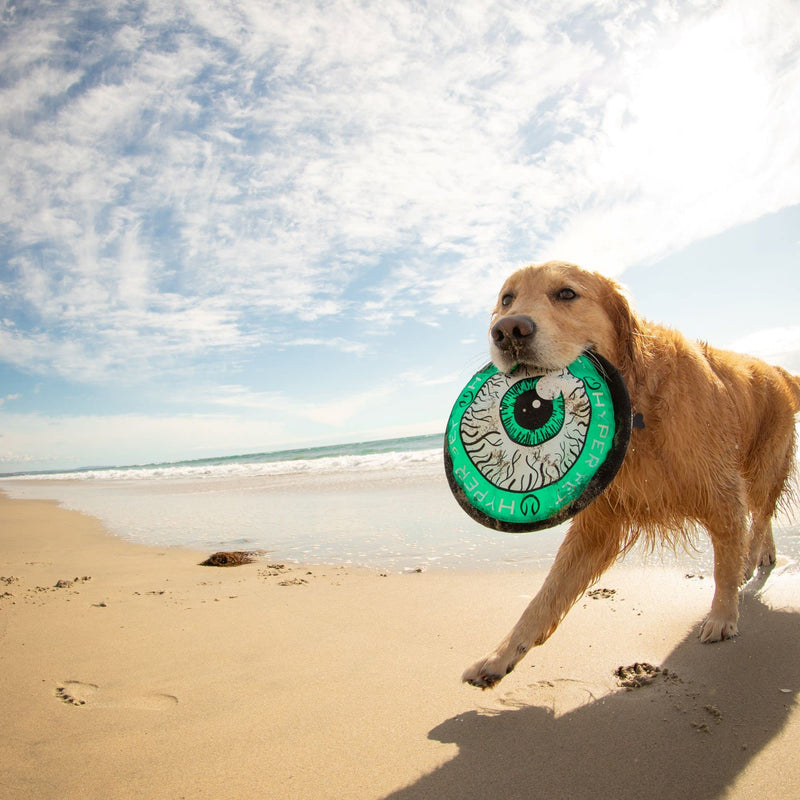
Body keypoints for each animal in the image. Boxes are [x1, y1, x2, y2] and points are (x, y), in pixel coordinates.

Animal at [462, 260, 800, 688]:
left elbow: (724, 560)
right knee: (762, 516)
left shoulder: (719, 491)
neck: (640, 405)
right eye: (507, 299)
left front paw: (722, 616)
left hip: (763, 464)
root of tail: (779, 370)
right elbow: (545, 596)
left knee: (760, 514)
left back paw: (754, 558)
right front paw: (500, 656)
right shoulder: (598, 520)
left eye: (566, 293)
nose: (508, 331)